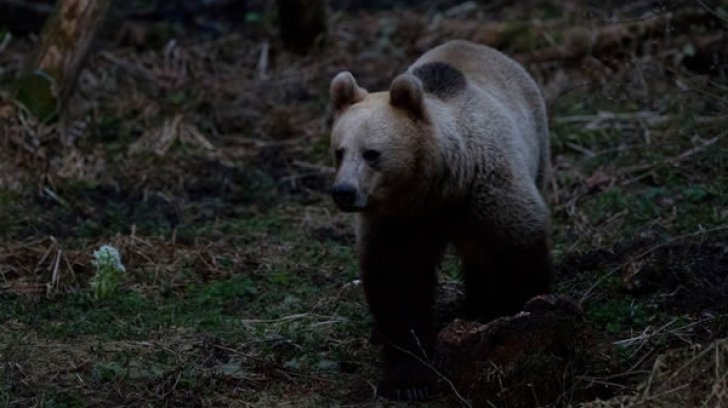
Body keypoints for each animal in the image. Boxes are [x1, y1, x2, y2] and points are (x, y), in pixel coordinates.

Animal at [328, 39, 552, 400]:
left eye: (371, 153)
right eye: (339, 151)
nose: (344, 192)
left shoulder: (487, 190)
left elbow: (516, 251)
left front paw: (519, 318)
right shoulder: (399, 219)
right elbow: (398, 282)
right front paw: (409, 380)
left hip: (537, 145)